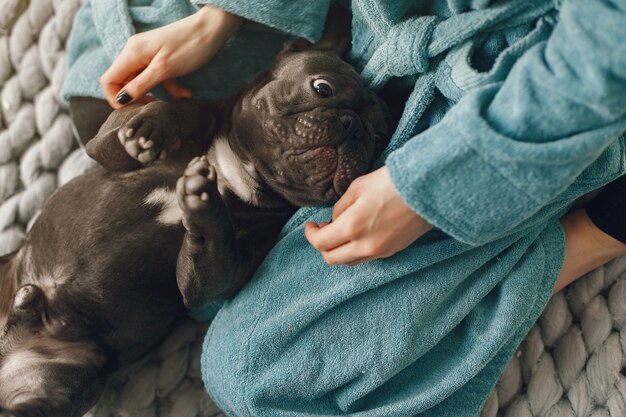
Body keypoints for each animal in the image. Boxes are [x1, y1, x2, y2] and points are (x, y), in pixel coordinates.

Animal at [0, 14, 388, 416]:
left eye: (379, 135)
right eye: (323, 88)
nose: (354, 126)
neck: (240, 168)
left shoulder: (217, 273)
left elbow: (213, 258)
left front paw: (204, 203)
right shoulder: (106, 144)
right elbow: (166, 115)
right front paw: (153, 127)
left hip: (73, 377)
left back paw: (25, 309)